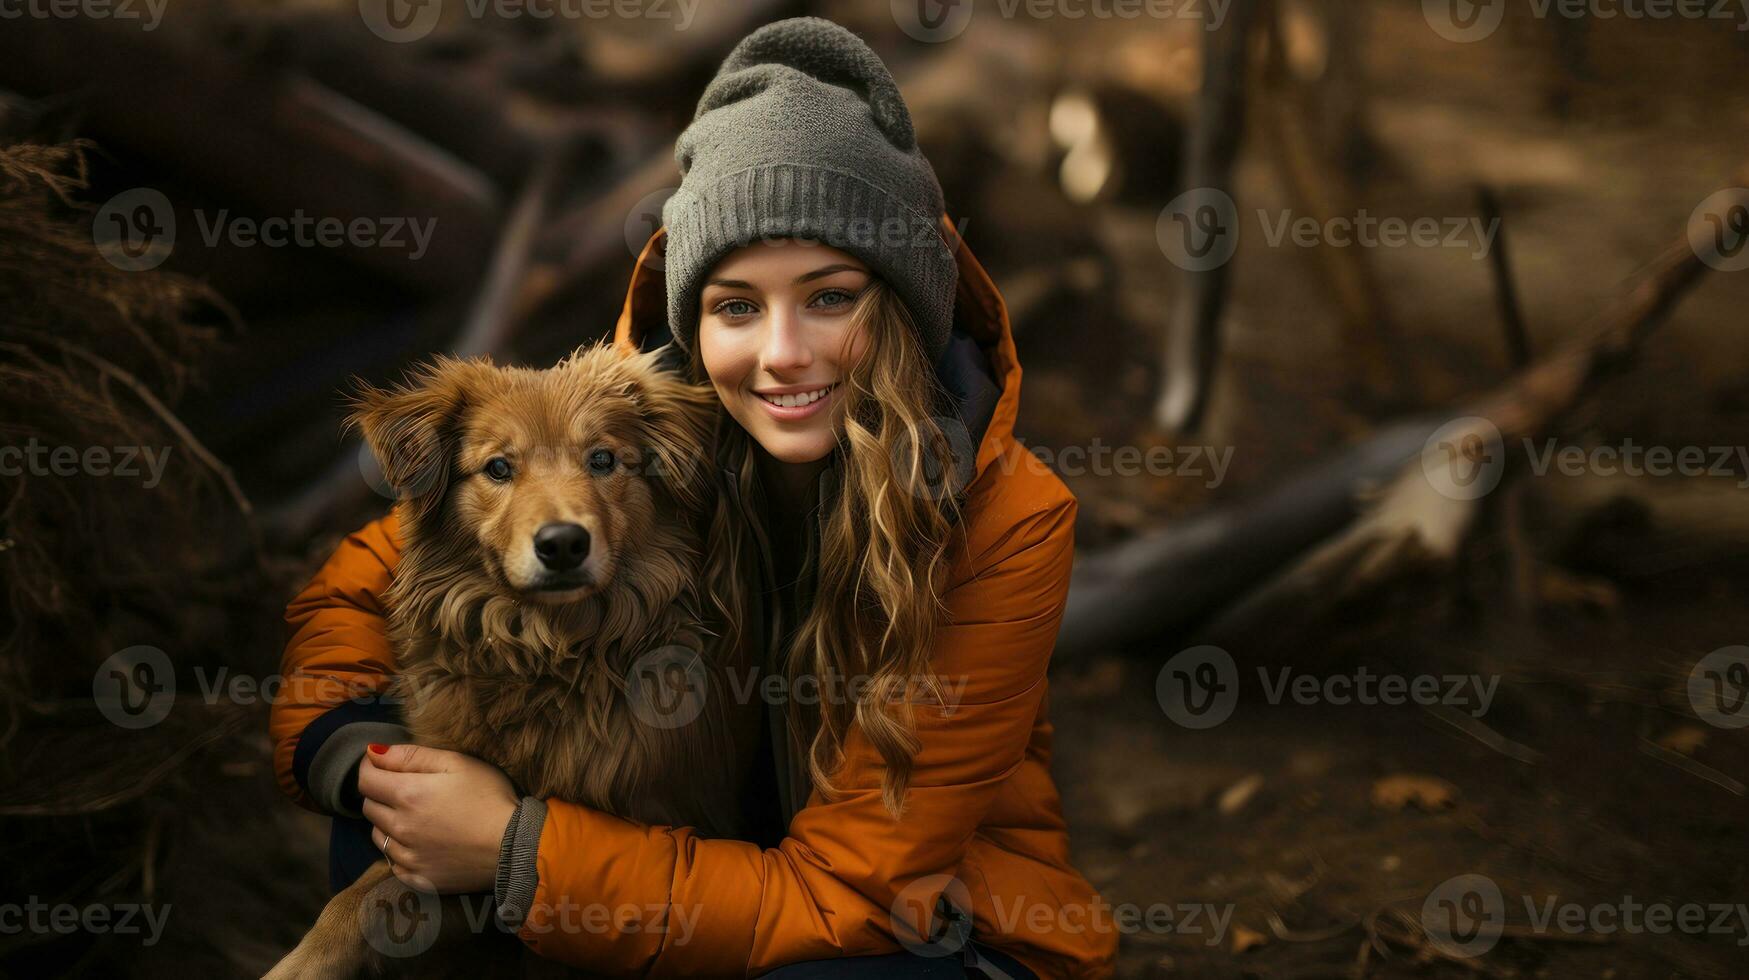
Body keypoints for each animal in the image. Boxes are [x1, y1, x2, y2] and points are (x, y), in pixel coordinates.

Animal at [267, 344, 759, 980]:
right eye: (498, 468)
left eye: (603, 459)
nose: (563, 543)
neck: (550, 653)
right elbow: (361, 895)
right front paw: (299, 964)